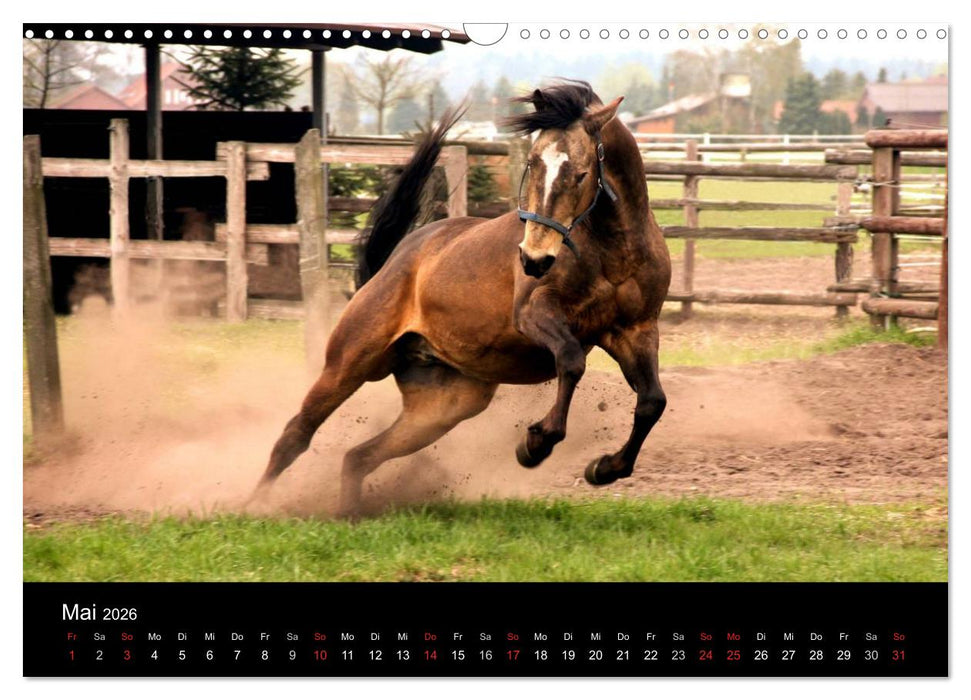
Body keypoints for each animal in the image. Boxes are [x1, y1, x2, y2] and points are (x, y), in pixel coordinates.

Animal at [254, 80, 671, 516]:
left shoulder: (636, 330)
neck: (613, 250)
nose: (534, 258)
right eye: (533, 163)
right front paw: (535, 443)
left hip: (442, 407)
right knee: (295, 436)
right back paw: (252, 504)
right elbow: (571, 362)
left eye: (581, 173)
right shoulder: (534, 314)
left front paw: (605, 468)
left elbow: (652, 401)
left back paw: (348, 513)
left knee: (359, 456)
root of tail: (398, 260)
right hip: (348, 362)